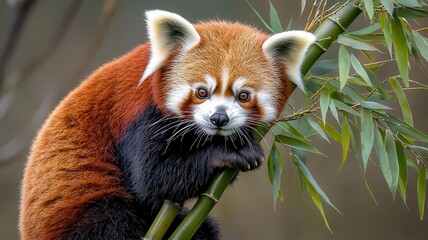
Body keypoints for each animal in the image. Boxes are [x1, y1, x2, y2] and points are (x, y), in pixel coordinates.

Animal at [19, 9, 314, 240]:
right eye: (202, 92)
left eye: (243, 96)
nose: (219, 119)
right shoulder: (139, 117)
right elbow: (152, 181)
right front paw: (228, 153)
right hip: (79, 214)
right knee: (111, 220)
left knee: (202, 231)